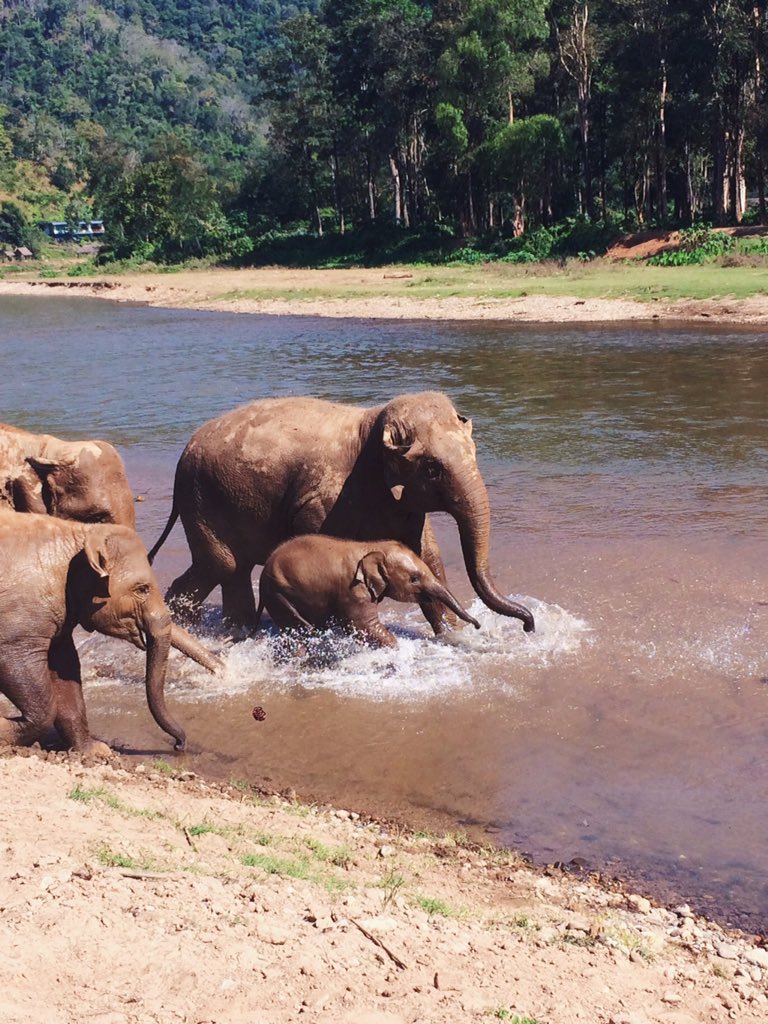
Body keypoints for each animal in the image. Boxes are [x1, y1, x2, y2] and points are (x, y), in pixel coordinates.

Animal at [0, 511, 222, 756]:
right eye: (142, 589)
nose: (179, 745)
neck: (79, 533)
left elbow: (64, 667)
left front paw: (96, 751)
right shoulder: (17, 623)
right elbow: (23, 671)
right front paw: (2, 730)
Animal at [150, 391, 534, 636]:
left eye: (474, 451)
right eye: (433, 469)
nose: (529, 626)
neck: (372, 423)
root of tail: (183, 454)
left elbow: (428, 557)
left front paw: (454, 639)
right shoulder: (323, 500)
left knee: (233, 571)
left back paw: (233, 631)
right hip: (202, 500)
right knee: (221, 566)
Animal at [256, 535, 481, 648]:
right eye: (414, 579)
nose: (478, 625)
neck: (371, 547)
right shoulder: (353, 591)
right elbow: (363, 626)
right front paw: (396, 649)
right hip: (277, 594)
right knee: (298, 630)